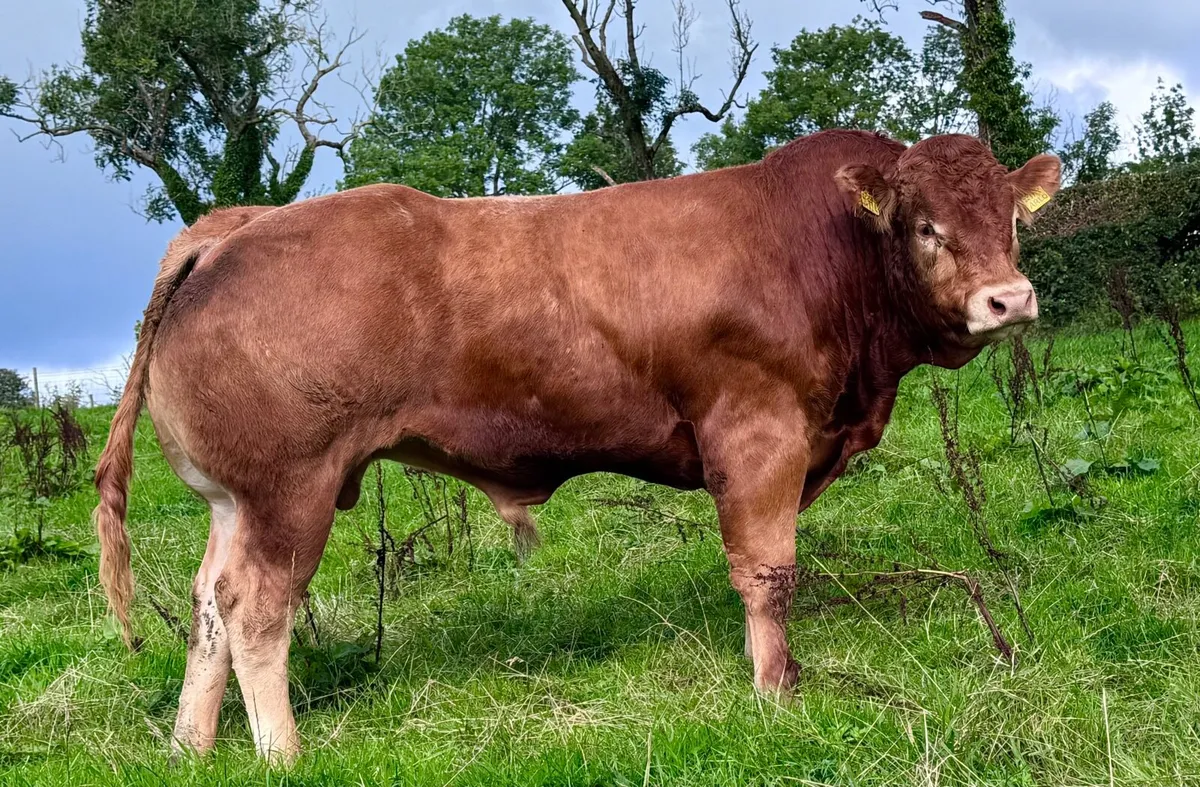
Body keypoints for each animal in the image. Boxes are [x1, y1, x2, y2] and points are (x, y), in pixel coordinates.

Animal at [93, 130, 1059, 763]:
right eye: (924, 224)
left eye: (1012, 219)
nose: (1009, 300)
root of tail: (234, 224)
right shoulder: (759, 433)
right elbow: (767, 573)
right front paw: (776, 691)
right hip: (289, 490)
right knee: (257, 608)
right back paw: (284, 753)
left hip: (235, 501)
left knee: (209, 605)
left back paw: (190, 745)